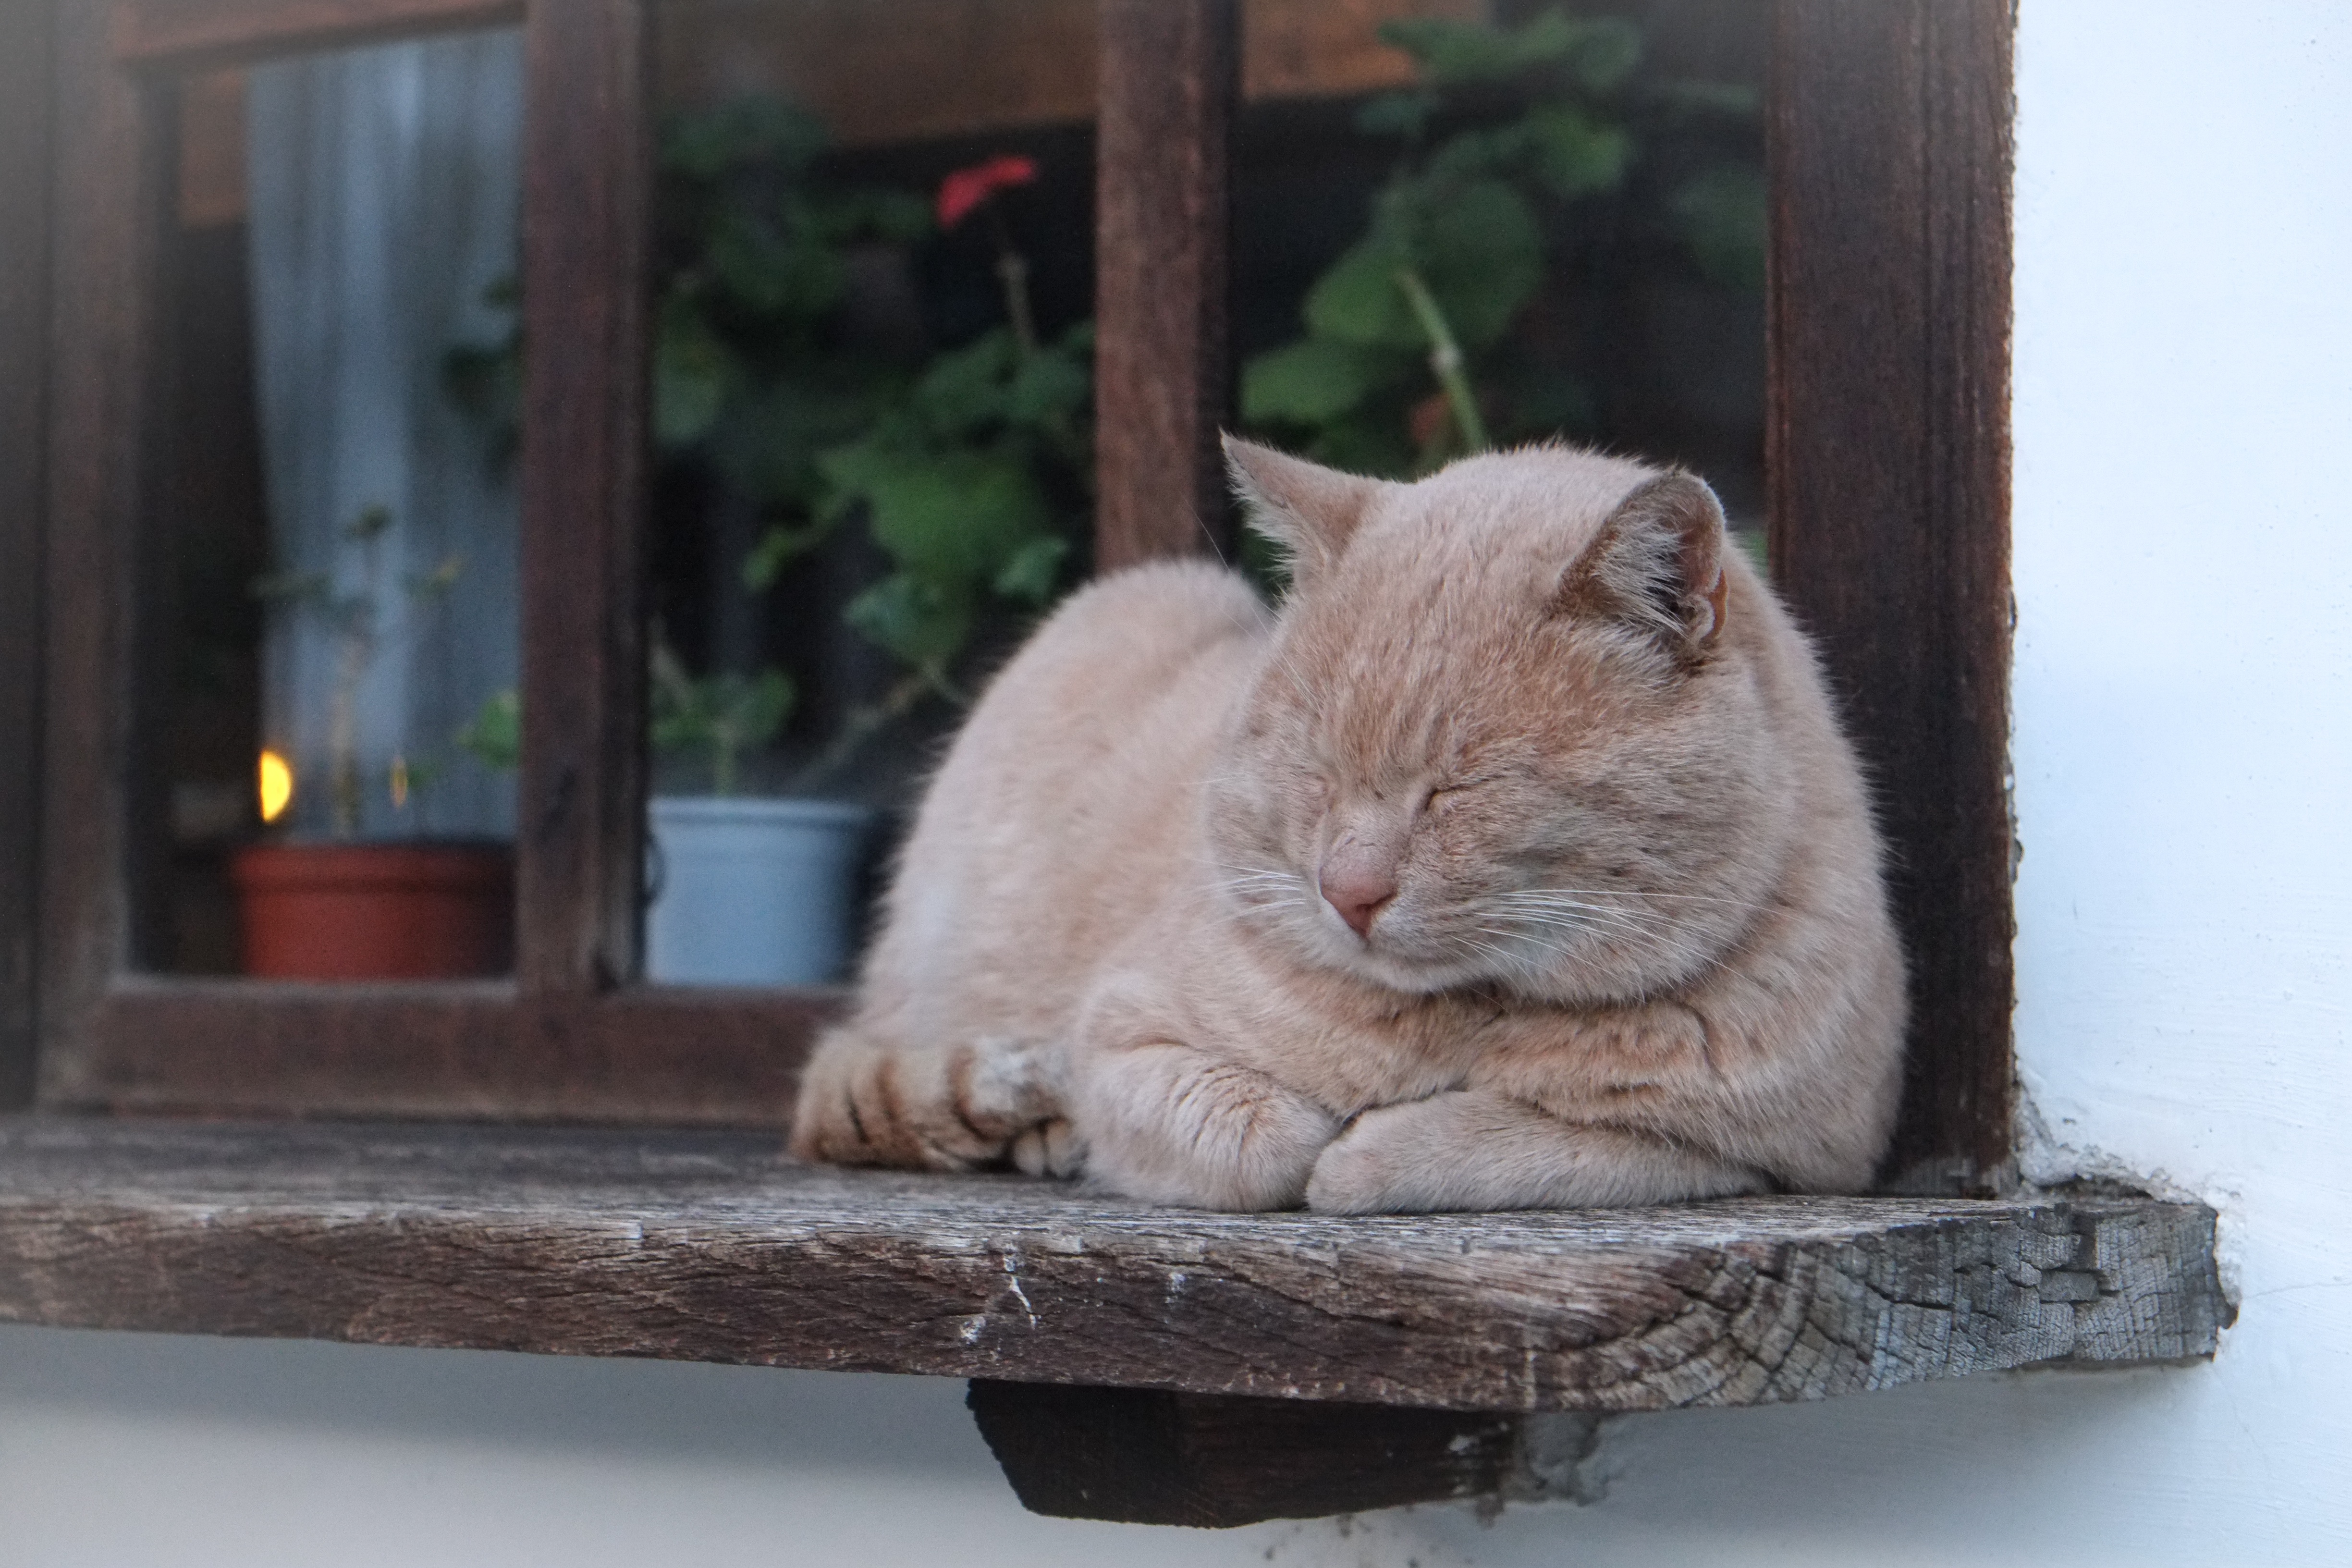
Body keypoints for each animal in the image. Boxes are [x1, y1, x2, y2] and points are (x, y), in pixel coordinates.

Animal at [795, 441, 1910, 1213]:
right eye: (1318, 770)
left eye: (1459, 788)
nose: (1349, 892)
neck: (1467, 1014)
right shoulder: (1121, 1037)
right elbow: (1259, 1133)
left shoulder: (1782, 1159)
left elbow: (1518, 1144)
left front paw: (1376, 1147)